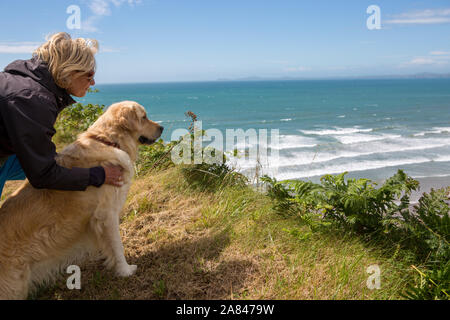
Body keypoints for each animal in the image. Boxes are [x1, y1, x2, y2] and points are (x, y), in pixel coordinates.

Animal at [0, 100, 163, 300]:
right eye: (143, 117)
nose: (162, 128)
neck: (108, 141)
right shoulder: (107, 214)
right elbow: (117, 246)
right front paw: (125, 270)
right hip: (14, 285)